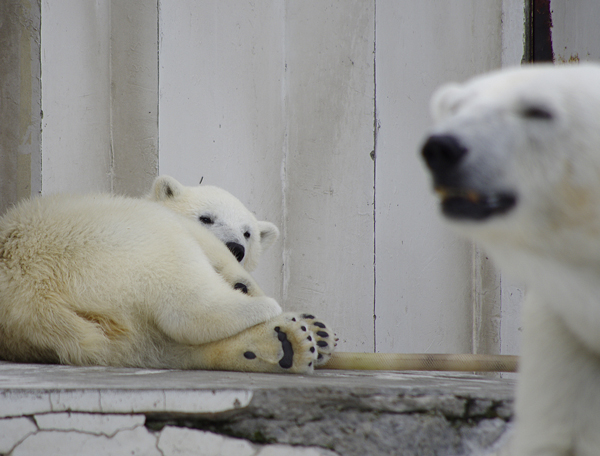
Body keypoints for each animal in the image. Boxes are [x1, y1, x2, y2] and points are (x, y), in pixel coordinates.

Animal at [0, 176, 336, 372]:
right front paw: (247, 286)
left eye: (248, 232)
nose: (236, 247)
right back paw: (268, 310)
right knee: (184, 299)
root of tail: (32, 296)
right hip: (114, 238)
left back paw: (291, 341)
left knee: (150, 347)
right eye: (206, 217)